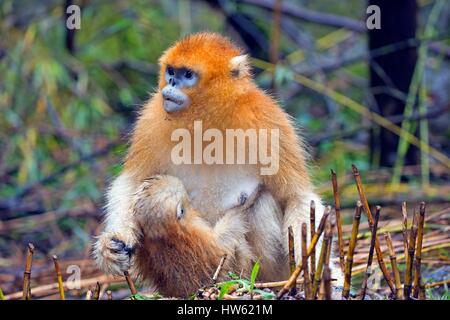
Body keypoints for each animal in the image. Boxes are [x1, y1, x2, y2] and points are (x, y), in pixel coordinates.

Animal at [95, 32, 342, 292]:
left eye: (187, 75)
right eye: (171, 71)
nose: (171, 83)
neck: (207, 121)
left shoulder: (269, 121)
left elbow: (296, 197)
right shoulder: (151, 118)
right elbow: (131, 182)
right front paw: (111, 246)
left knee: (263, 204)